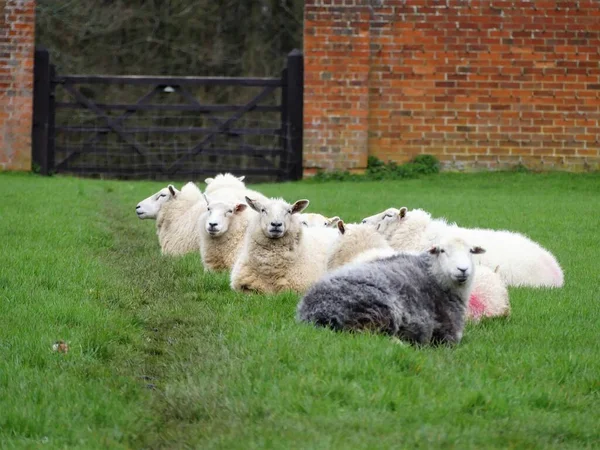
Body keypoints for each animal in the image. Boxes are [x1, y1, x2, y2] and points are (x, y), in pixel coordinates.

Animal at [298, 237, 486, 346]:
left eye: (471, 251)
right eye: (442, 251)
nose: (463, 269)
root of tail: (313, 312)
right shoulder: (449, 332)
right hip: (377, 308)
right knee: (368, 336)